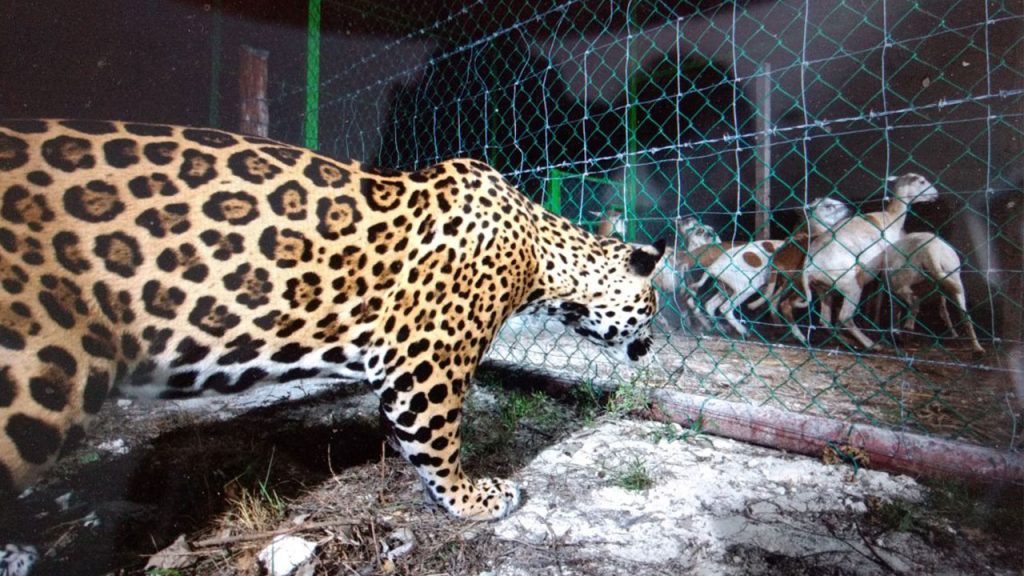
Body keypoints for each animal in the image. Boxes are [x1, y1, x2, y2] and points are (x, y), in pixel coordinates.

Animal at [0, 118, 666, 520]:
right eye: (651, 309)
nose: (653, 345)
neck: (543, 255)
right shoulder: (427, 364)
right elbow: (439, 438)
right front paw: (472, 498)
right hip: (39, 372)